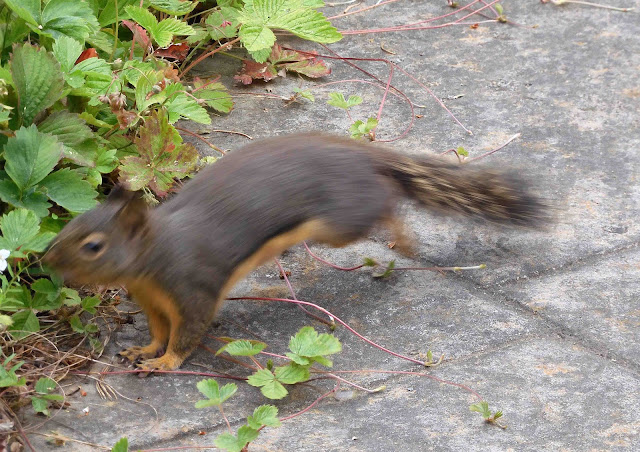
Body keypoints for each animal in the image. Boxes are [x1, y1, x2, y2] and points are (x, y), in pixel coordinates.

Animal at [44, 133, 546, 371]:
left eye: (93, 246)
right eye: (71, 223)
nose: (45, 261)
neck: (154, 257)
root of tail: (362, 156)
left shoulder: (192, 290)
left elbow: (187, 335)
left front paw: (166, 363)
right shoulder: (153, 302)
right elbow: (159, 330)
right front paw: (144, 350)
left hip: (340, 223)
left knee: (386, 204)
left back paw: (402, 239)